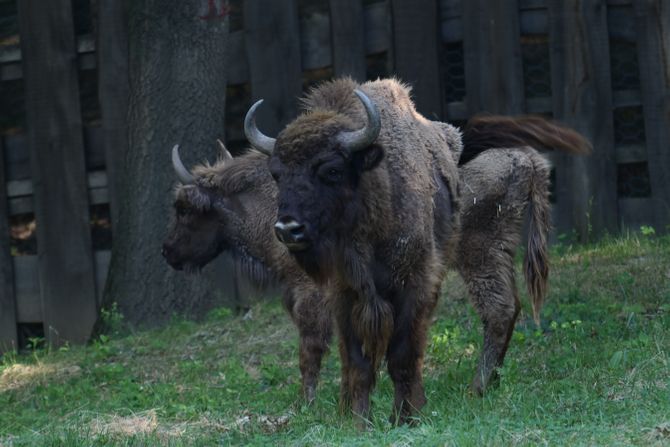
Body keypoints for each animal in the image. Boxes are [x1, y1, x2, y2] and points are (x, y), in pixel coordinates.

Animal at [244, 77, 592, 424]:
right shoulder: (345, 293)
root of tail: (529, 160)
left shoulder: (413, 284)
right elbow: (357, 361)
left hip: (481, 248)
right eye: (277, 174)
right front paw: (359, 421)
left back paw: (476, 389)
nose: (287, 229)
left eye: (331, 170)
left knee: (499, 309)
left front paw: (404, 417)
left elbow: (401, 355)